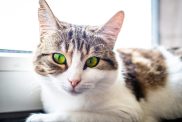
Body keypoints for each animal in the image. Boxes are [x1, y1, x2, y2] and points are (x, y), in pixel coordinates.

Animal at [26, 0, 182, 122]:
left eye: (92, 61)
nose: (74, 81)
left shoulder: (128, 113)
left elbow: (76, 115)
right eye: (58, 58)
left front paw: (40, 117)